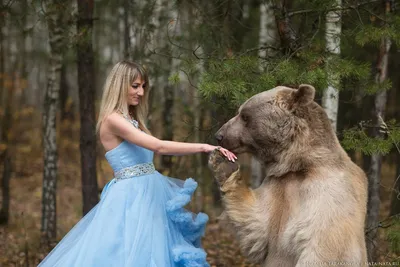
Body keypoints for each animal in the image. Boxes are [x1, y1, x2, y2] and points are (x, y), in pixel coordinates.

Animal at [209, 85, 368, 266]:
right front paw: (222, 161)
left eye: (245, 116)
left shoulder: (329, 193)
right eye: (240, 112)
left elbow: (327, 248)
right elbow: (256, 223)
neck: (297, 164)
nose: (219, 135)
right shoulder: (279, 187)